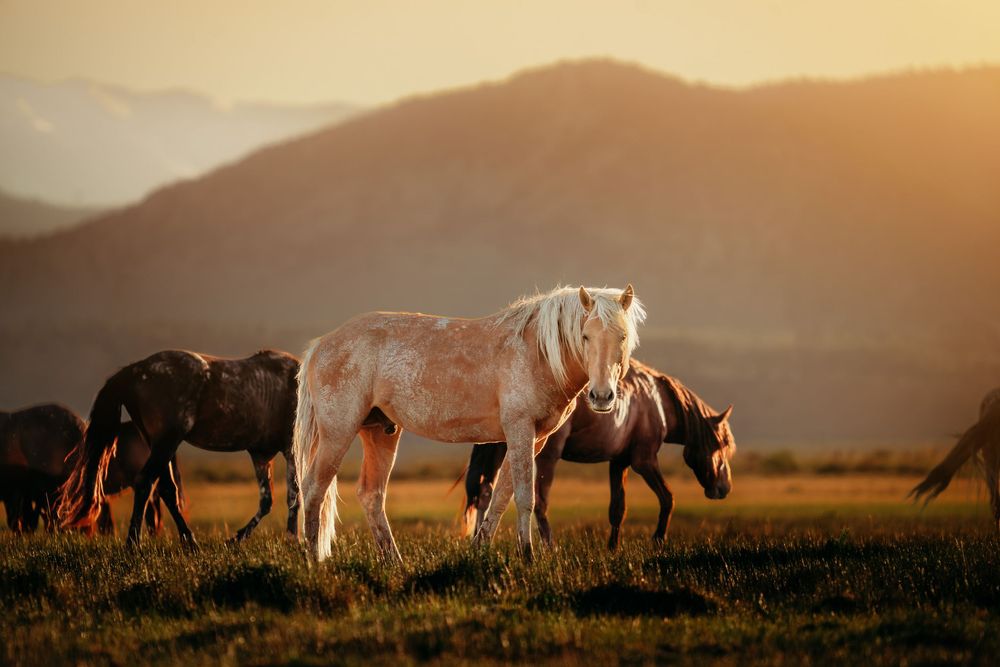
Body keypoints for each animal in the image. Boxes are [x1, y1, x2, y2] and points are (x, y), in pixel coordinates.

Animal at [294, 285, 645, 562]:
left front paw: (479, 551)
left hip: (380, 433)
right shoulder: (520, 430)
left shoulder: (534, 439)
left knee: (371, 495)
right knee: (313, 489)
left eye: (622, 336)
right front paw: (528, 557)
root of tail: (320, 345)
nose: (602, 396)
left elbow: (501, 496)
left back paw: (395, 563)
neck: (537, 352)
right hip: (338, 433)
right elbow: (524, 496)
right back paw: (314, 562)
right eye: (585, 336)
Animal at [463, 359, 735, 550]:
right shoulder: (644, 461)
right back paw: (549, 547)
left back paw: (480, 541)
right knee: (539, 502)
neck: (657, 403)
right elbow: (667, 498)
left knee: (486, 493)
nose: (724, 488)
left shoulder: (619, 462)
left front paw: (612, 548)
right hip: (544, 456)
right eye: (722, 445)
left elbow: (618, 508)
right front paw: (658, 540)